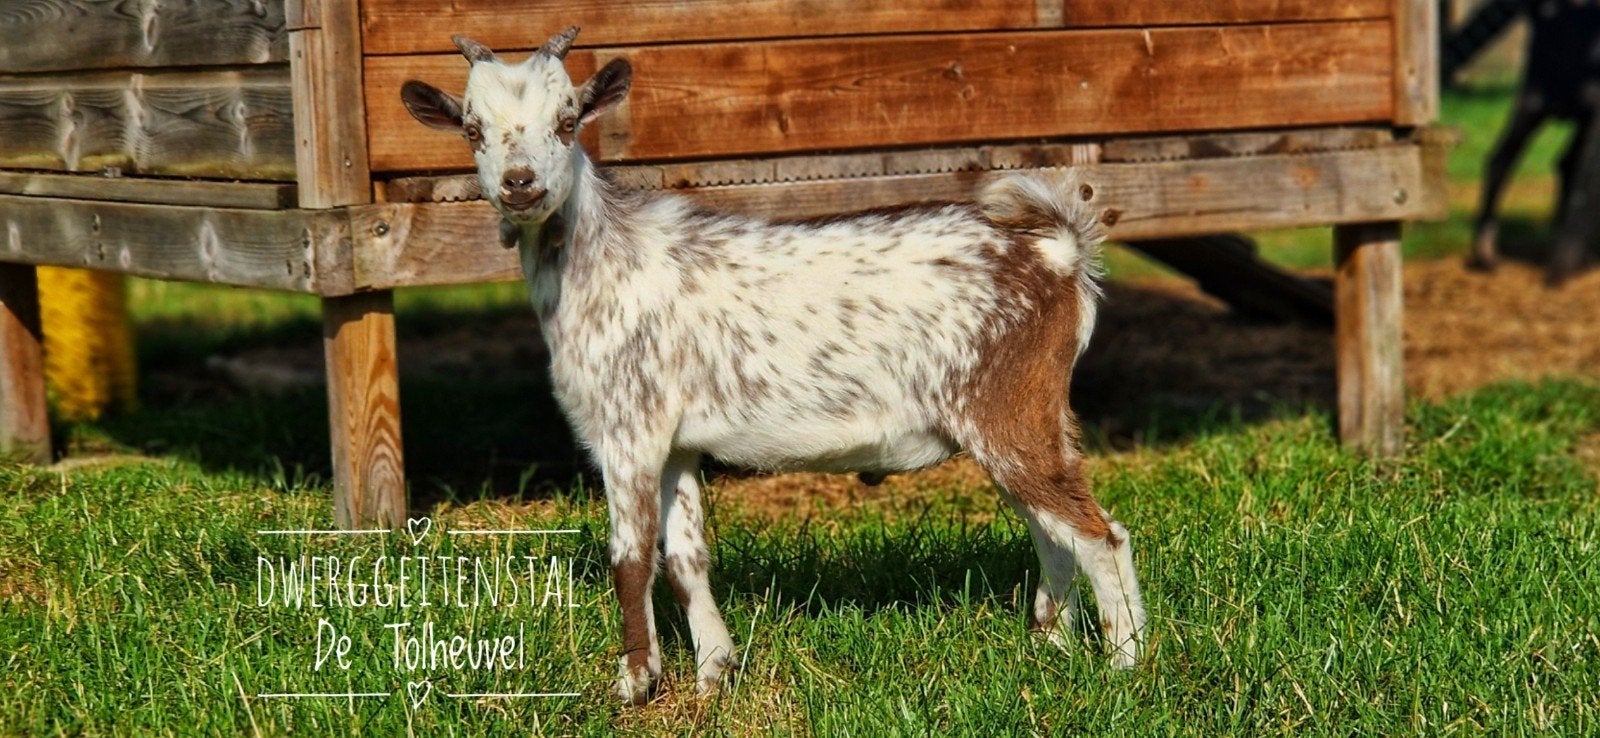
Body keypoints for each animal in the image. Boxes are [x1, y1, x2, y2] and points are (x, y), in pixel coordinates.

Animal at [400, 28, 1146, 704]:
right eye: (472, 128)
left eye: (566, 119)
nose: (520, 185)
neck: (602, 258)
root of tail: (1059, 251)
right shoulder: (676, 444)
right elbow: (686, 557)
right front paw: (713, 674)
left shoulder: (628, 429)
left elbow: (631, 559)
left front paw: (634, 685)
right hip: (1023, 420)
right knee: (1052, 532)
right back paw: (1048, 648)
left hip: (1007, 409)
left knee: (1098, 534)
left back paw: (1124, 667)